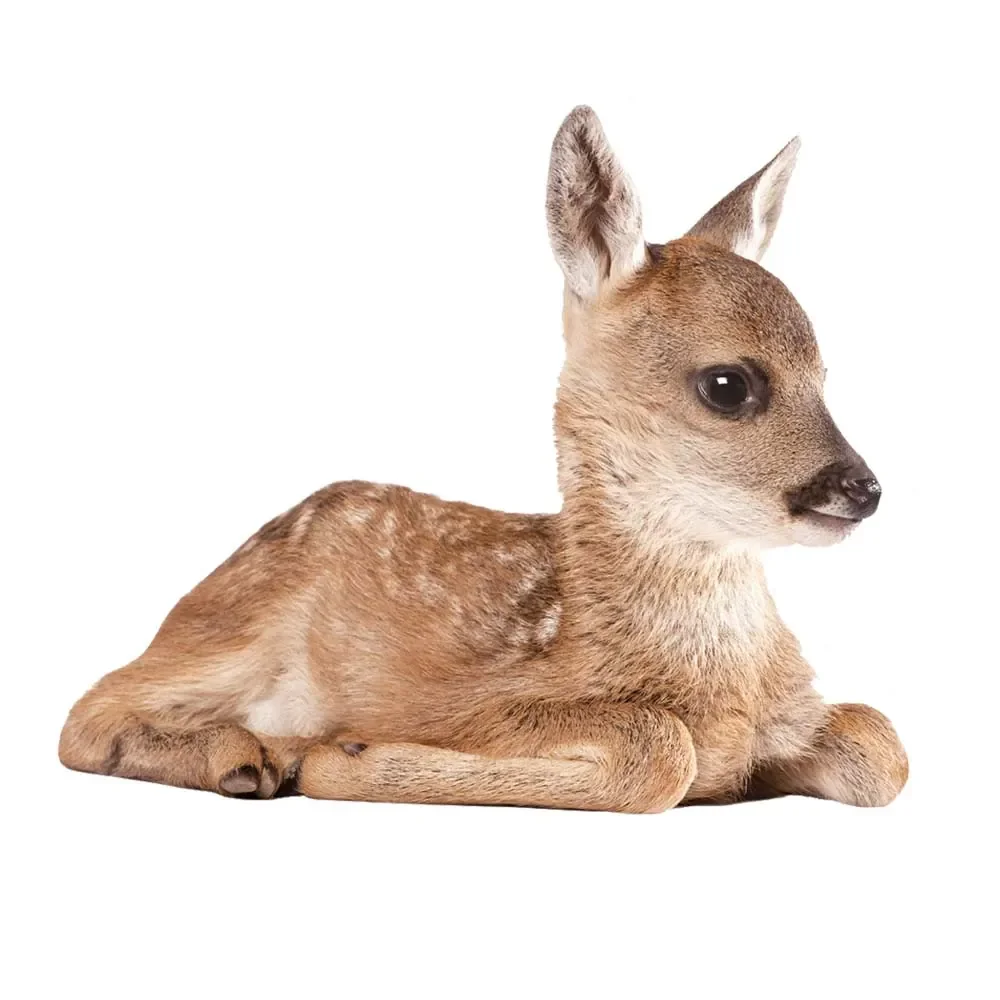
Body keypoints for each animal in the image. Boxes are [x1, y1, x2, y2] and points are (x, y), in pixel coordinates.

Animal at [59, 107, 908, 812]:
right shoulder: (480, 701)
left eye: (824, 373)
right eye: (728, 385)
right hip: (236, 627)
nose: (862, 488)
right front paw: (343, 755)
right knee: (86, 713)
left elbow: (883, 744)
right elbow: (661, 750)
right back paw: (249, 756)